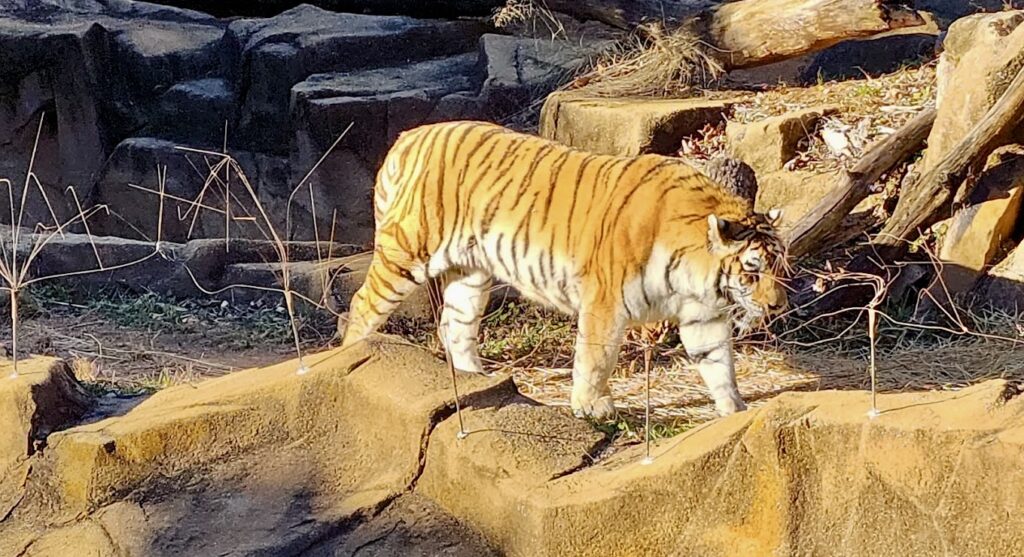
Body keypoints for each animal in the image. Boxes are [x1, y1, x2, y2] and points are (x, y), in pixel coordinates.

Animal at [338, 120, 788, 419]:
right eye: (752, 271)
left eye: (779, 268)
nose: (778, 306)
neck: (695, 275)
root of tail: (409, 137)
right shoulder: (606, 302)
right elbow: (596, 358)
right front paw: (592, 407)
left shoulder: (702, 314)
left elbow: (718, 364)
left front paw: (737, 411)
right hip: (407, 250)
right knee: (363, 304)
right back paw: (350, 359)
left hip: (470, 275)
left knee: (455, 326)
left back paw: (475, 382)